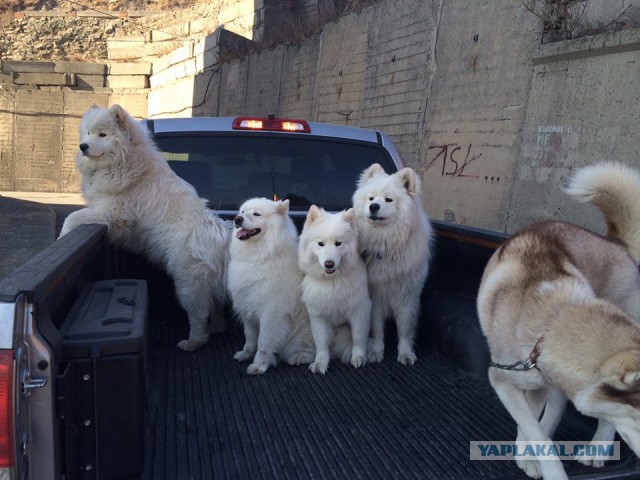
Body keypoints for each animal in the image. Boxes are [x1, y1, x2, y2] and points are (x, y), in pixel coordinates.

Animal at [59, 106, 230, 352]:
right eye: (88, 133)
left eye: (102, 135)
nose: (83, 146)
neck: (123, 161)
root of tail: (220, 235)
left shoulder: (113, 213)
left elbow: (72, 217)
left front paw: (62, 237)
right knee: (215, 307)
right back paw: (216, 328)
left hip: (187, 285)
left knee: (198, 316)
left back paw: (192, 342)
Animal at [230, 197, 316, 374]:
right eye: (242, 212)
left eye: (256, 214)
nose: (237, 219)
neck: (258, 258)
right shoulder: (247, 307)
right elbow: (250, 338)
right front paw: (246, 354)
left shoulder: (271, 313)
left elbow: (263, 342)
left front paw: (259, 365)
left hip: (305, 331)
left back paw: (299, 357)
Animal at [298, 206, 372, 376]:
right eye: (320, 244)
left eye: (338, 243)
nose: (329, 264)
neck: (332, 282)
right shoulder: (318, 316)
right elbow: (321, 344)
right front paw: (320, 363)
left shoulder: (359, 311)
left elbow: (358, 338)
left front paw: (358, 358)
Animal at [350, 164, 436, 364]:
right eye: (371, 198)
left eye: (388, 200)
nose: (374, 206)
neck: (386, 243)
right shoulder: (376, 295)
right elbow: (377, 327)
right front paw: (376, 351)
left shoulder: (406, 296)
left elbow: (404, 329)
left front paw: (405, 353)